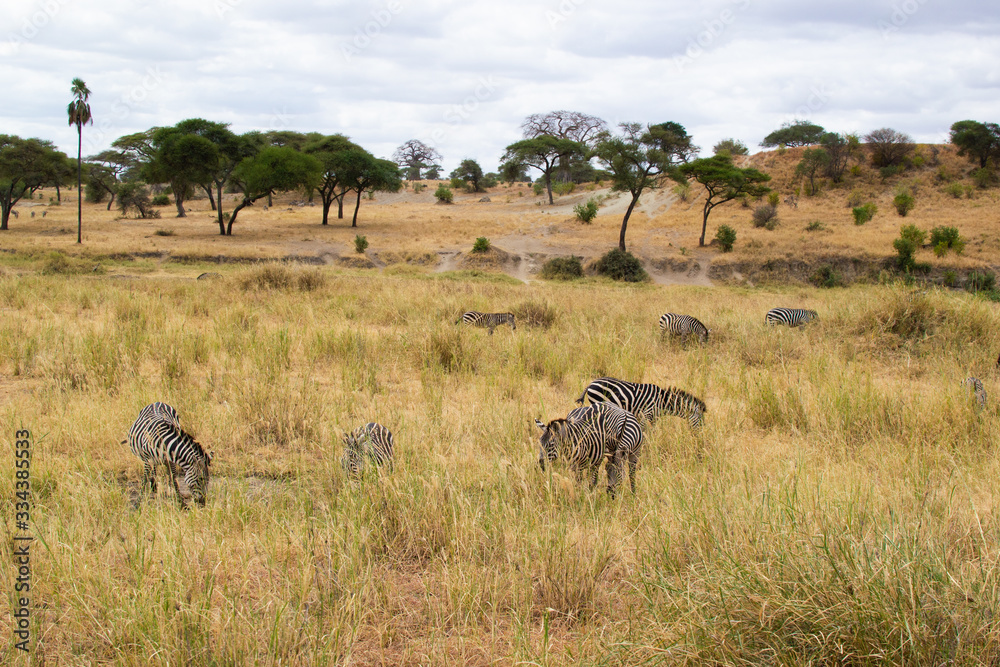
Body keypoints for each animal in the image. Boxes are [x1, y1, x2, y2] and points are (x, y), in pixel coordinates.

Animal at [576, 377, 706, 430]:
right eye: (700, 418)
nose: (700, 434)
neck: (662, 402)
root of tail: (591, 384)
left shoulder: (654, 418)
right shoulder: (647, 414)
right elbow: (643, 431)